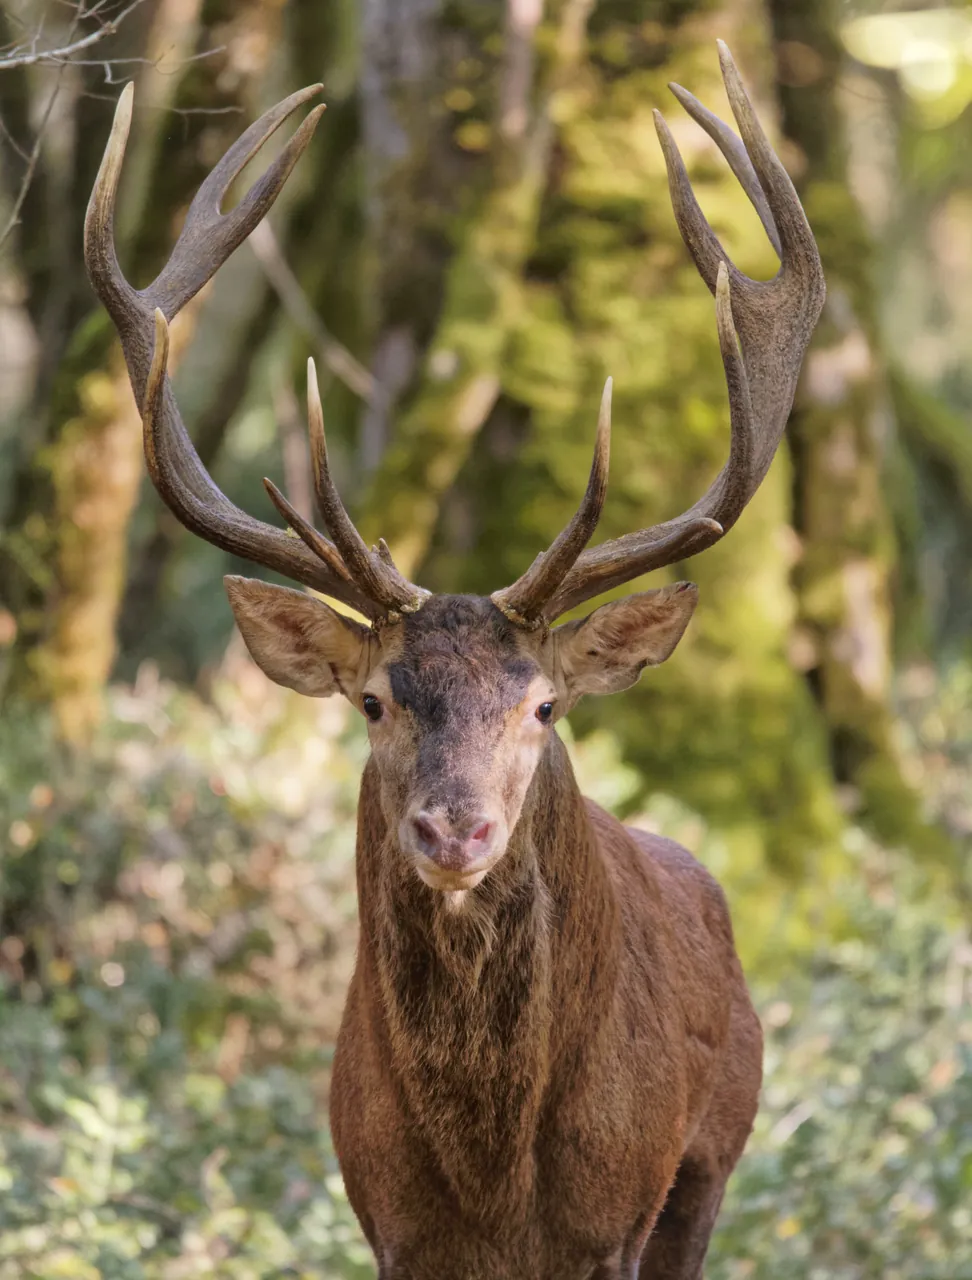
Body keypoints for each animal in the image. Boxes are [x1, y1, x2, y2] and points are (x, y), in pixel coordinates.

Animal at [85, 41, 824, 1280]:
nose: (454, 829)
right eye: (376, 701)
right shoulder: (388, 1218)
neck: (493, 1183)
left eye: (544, 707)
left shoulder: (618, 1215)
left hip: (709, 1163)